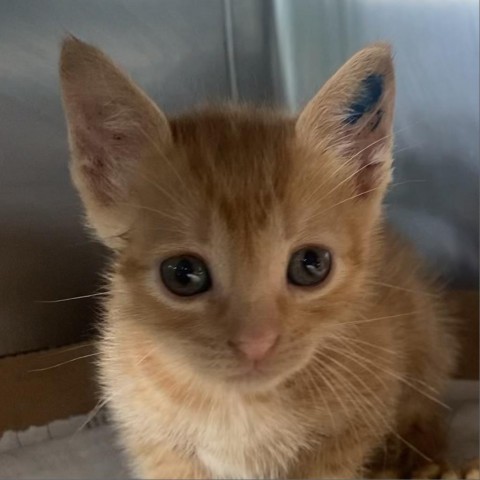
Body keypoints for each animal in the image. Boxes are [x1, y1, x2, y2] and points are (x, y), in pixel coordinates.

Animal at [60, 35, 462, 478]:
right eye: (183, 274)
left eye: (311, 264)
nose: (256, 343)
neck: (243, 406)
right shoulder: (152, 437)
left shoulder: (353, 428)